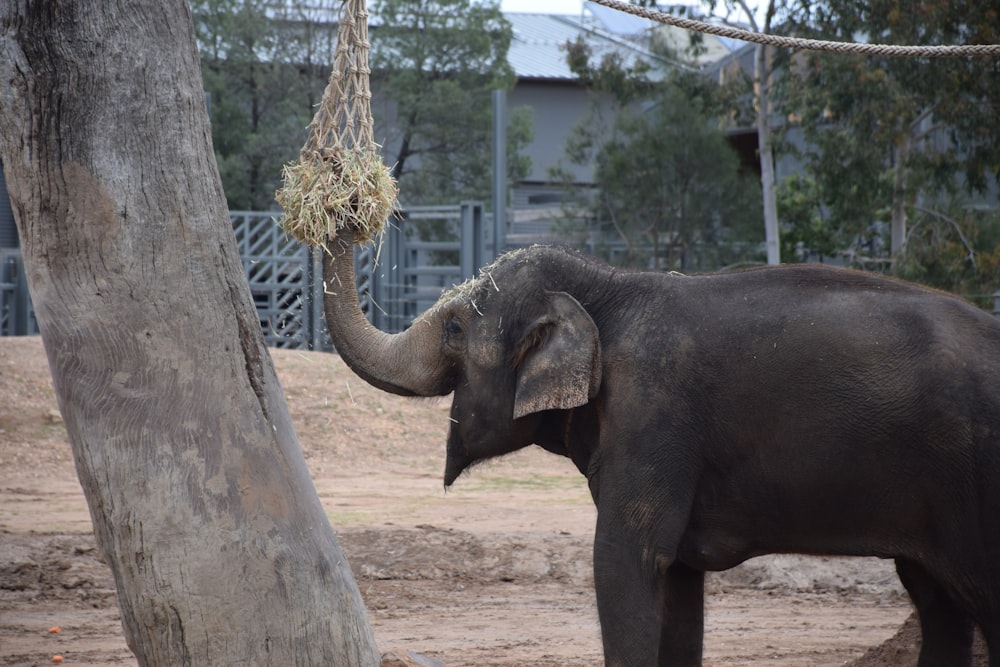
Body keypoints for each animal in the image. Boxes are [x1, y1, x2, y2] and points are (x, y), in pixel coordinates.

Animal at [326, 226, 1000, 667]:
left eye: (455, 326)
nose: (348, 211)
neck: (608, 287)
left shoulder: (654, 414)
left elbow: (625, 562)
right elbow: (675, 579)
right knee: (938, 606)